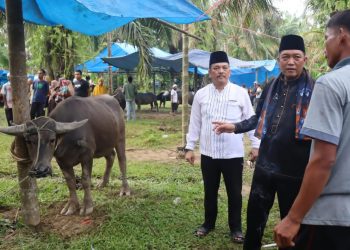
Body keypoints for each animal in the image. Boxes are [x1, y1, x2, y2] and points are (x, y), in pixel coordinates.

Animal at [0, 94, 130, 216]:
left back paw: (125, 189)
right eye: (28, 141)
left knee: (122, 160)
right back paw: (103, 183)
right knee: (111, 156)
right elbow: (70, 182)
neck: (67, 139)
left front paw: (87, 206)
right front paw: (72, 206)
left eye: (52, 140)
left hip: (120, 138)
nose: (41, 170)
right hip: (105, 144)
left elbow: (85, 180)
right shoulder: (62, 161)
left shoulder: (87, 155)